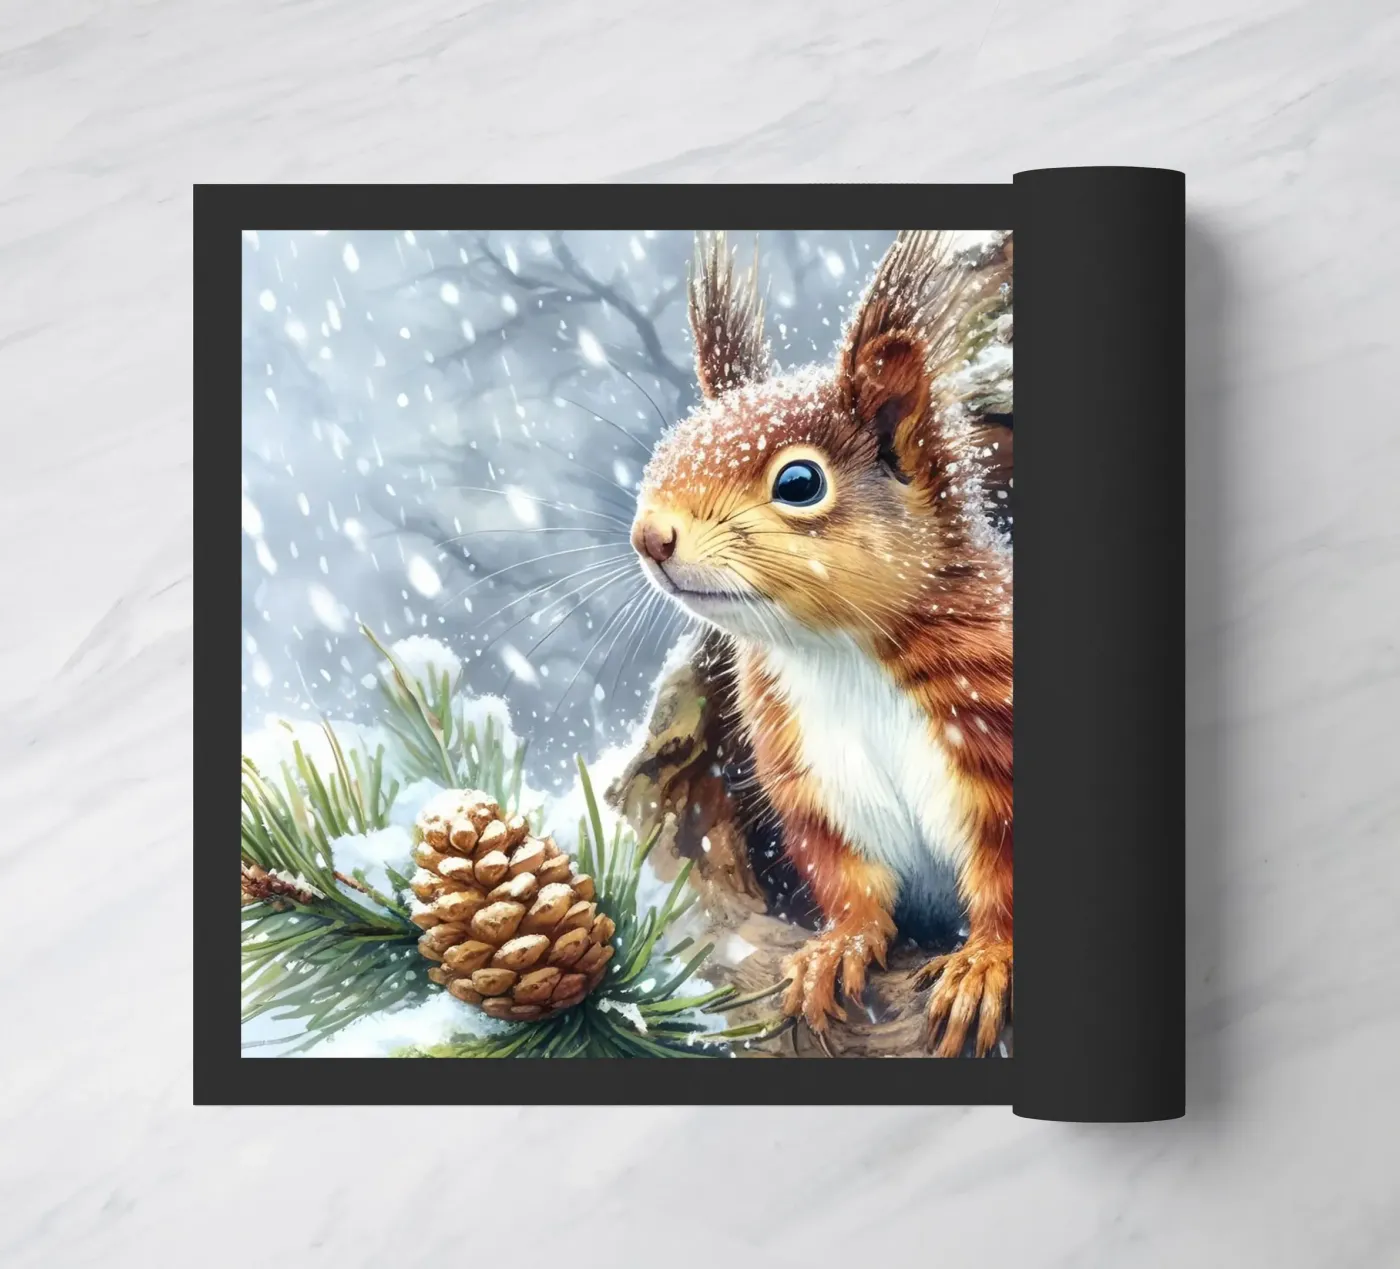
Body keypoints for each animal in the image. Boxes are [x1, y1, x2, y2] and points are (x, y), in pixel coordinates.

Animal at [630, 231, 1013, 1057]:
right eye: (668, 449)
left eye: (800, 482)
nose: (650, 536)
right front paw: (835, 948)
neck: (837, 654)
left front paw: (986, 961)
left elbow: (1004, 877)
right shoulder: (810, 773)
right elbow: (849, 877)